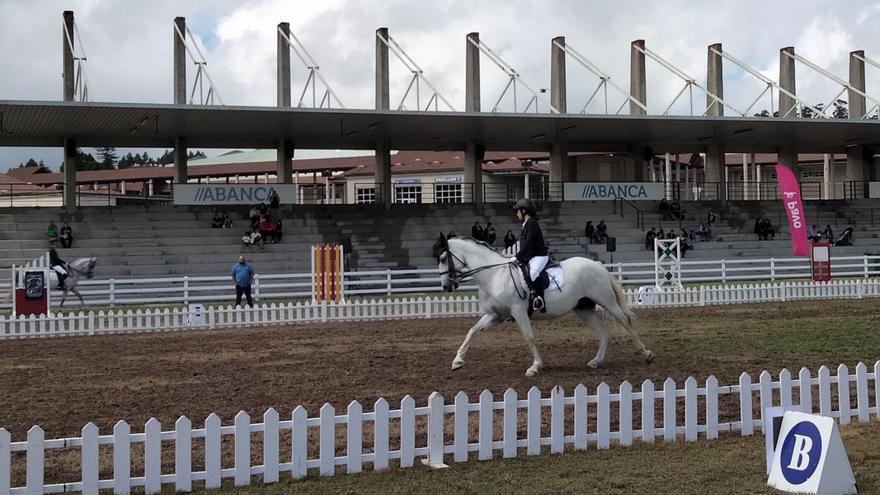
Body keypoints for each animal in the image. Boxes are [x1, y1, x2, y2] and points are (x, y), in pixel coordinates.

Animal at [434, 234, 652, 378]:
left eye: (443, 258)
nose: (446, 286)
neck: (495, 274)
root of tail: (598, 265)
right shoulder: (495, 315)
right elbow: (472, 331)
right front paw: (457, 361)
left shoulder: (519, 312)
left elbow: (529, 337)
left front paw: (535, 366)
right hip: (584, 309)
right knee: (603, 332)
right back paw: (596, 361)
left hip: (606, 301)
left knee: (624, 321)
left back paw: (646, 353)